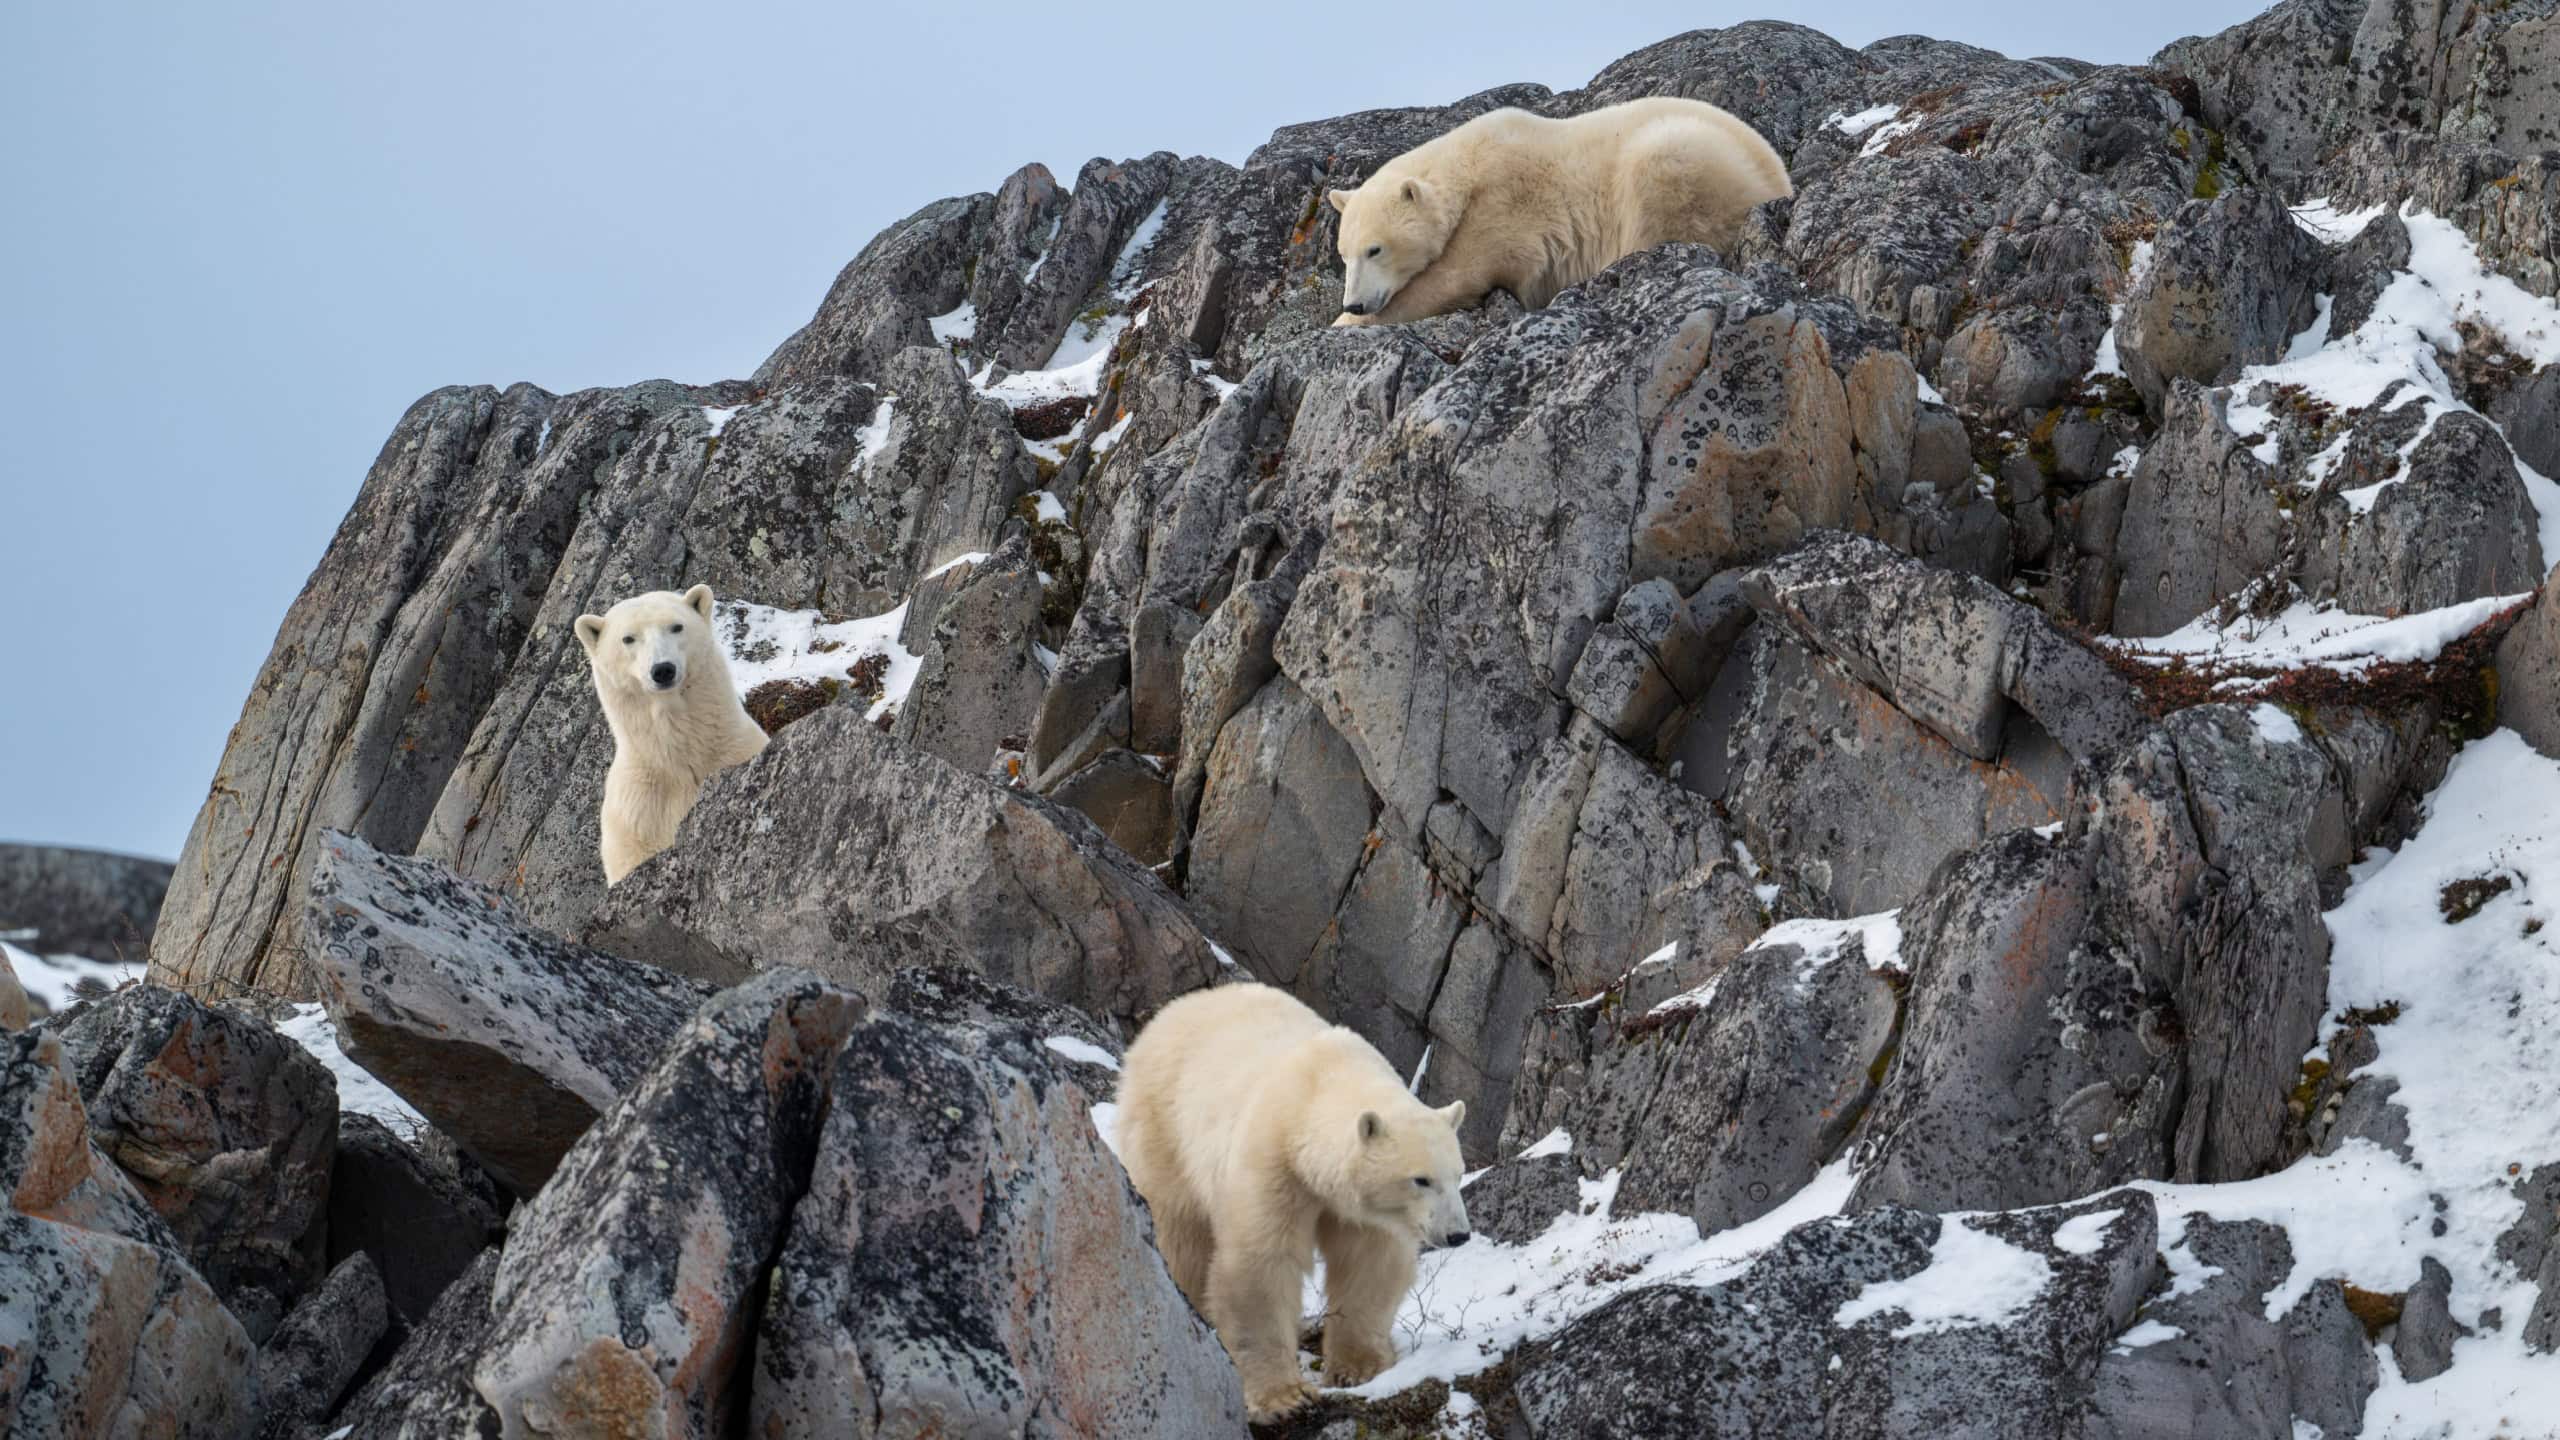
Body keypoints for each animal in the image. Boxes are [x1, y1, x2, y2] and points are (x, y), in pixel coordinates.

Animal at [1113, 982, 1471, 1420]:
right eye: (1421, 1179)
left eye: (1457, 1174)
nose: (1457, 1235)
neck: (1316, 1090)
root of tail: (1177, 1007)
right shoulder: (1274, 1163)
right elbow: (1261, 1264)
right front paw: (1285, 1397)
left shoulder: (1361, 1211)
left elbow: (1369, 1263)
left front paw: (1359, 1366)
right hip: (1165, 1127)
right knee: (1180, 1231)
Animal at [1327, 96, 1792, 325]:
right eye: (1344, 254)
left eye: (1375, 249)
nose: (1355, 304)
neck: (1467, 164)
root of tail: (1780, 178)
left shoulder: (1504, 205)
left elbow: (1460, 275)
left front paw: (1342, 325)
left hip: (1700, 158)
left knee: (1663, 162)